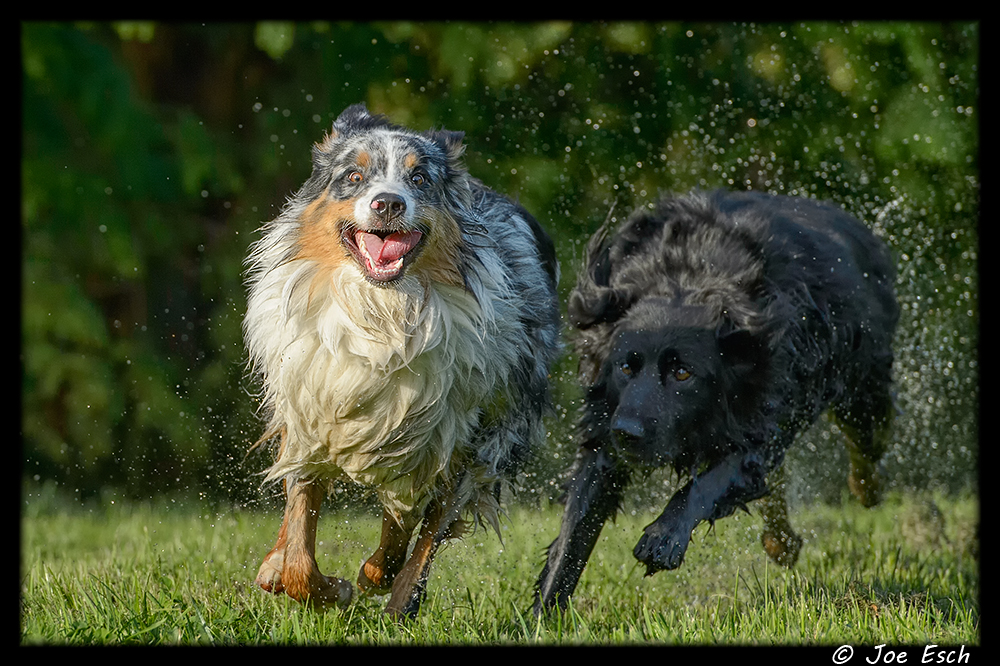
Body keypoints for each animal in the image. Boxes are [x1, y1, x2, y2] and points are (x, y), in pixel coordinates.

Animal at [536, 189, 904, 608]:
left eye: (683, 373)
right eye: (626, 367)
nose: (627, 432)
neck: (691, 274)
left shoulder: (760, 421)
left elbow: (709, 481)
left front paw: (664, 536)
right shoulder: (604, 433)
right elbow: (573, 536)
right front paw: (542, 613)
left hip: (861, 388)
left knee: (867, 445)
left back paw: (865, 489)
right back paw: (782, 541)